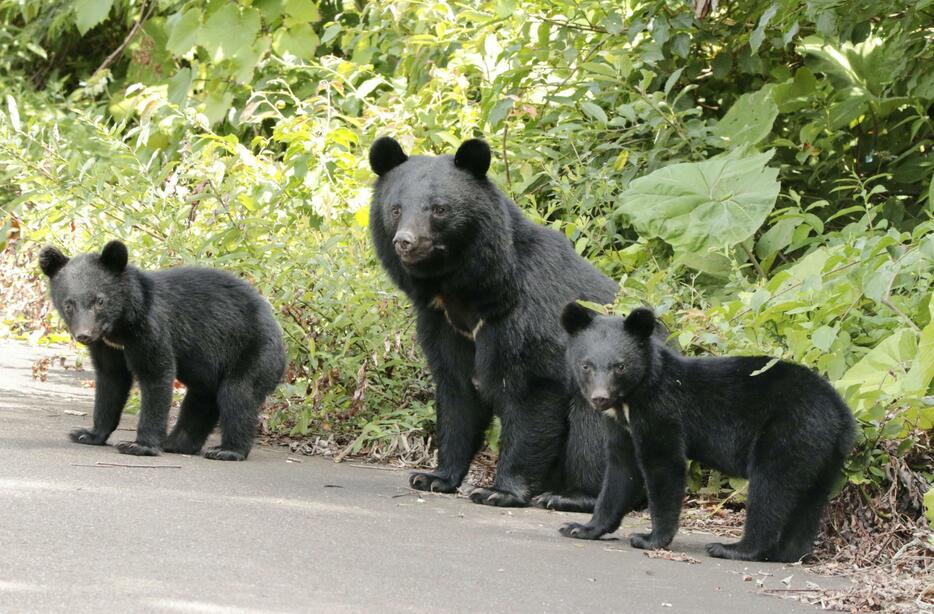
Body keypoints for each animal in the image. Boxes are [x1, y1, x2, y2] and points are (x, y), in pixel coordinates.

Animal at [38, 241, 286, 462]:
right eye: (69, 304)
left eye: (99, 301)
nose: (84, 335)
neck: (119, 328)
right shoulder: (107, 346)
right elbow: (110, 381)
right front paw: (88, 434)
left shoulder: (151, 328)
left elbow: (156, 375)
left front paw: (140, 445)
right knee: (201, 400)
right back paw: (177, 443)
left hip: (252, 352)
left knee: (238, 395)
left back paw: (227, 450)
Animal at [370, 136, 648, 516]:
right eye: (396, 209)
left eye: (439, 209)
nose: (406, 242)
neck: (465, 291)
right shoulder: (442, 324)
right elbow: (457, 391)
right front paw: (434, 477)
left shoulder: (528, 316)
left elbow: (531, 392)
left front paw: (499, 492)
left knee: (593, 429)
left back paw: (572, 496)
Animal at [560, 304, 860, 564]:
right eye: (586, 365)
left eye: (619, 366)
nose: (600, 398)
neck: (631, 400)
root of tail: (841, 413)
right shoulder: (622, 427)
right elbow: (621, 471)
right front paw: (581, 528)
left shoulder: (661, 412)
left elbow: (664, 465)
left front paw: (650, 539)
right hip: (822, 452)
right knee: (810, 500)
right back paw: (787, 553)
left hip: (789, 431)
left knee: (770, 488)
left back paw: (734, 548)